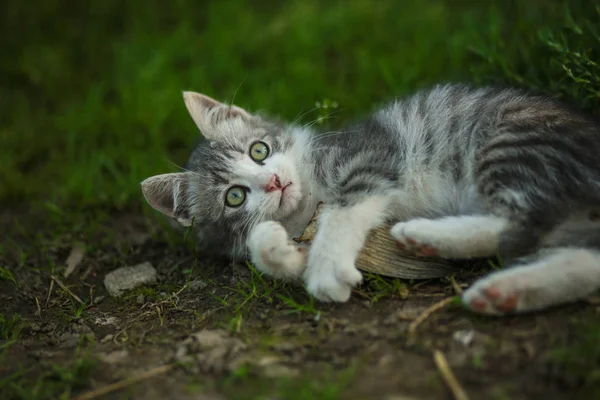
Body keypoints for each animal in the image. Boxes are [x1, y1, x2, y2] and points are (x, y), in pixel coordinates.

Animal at [141, 83, 600, 316]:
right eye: (235, 196)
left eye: (259, 150)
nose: (273, 182)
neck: (308, 196)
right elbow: (263, 245)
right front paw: (283, 252)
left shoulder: (369, 157)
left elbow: (342, 211)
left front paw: (326, 266)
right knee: (584, 260)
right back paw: (507, 291)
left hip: (513, 142)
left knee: (519, 220)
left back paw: (426, 235)